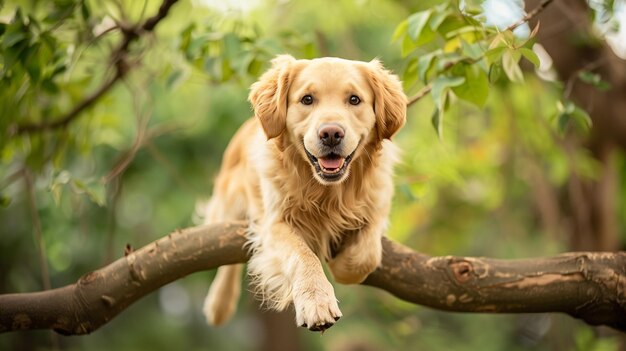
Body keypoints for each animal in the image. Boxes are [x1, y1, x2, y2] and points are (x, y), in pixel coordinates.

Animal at [200, 53, 404, 332]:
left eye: (354, 99)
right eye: (307, 99)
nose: (331, 134)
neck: (326, 191)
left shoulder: (377, 206)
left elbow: (367, 255)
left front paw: (341, 266)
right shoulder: (274, 223)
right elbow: (302, 255)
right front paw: (316, 302)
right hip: (227, 203)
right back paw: (219, 303)